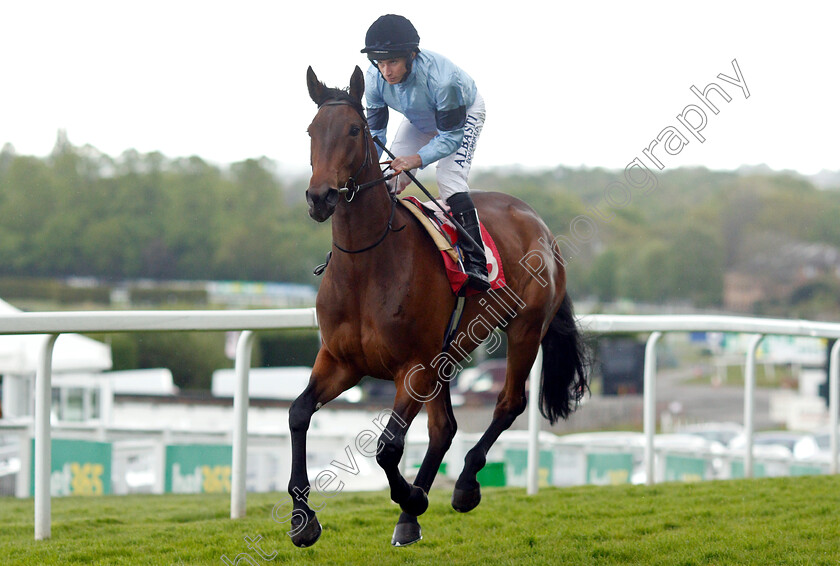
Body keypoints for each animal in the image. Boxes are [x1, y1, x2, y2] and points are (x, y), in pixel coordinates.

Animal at [290, 67, 592, 552]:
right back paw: (409, 518)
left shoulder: (413, 367)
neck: (366, 265)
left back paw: (463, 487)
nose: (321, 198)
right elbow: (299, 413)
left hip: (524, 330)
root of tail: (540, 224)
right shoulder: (341, 361)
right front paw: (303, 520)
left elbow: (388, 447)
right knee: (444, 427)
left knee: (507, 404)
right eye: (311, 131)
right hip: (447, 355)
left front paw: (413, 495)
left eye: (354, 130)